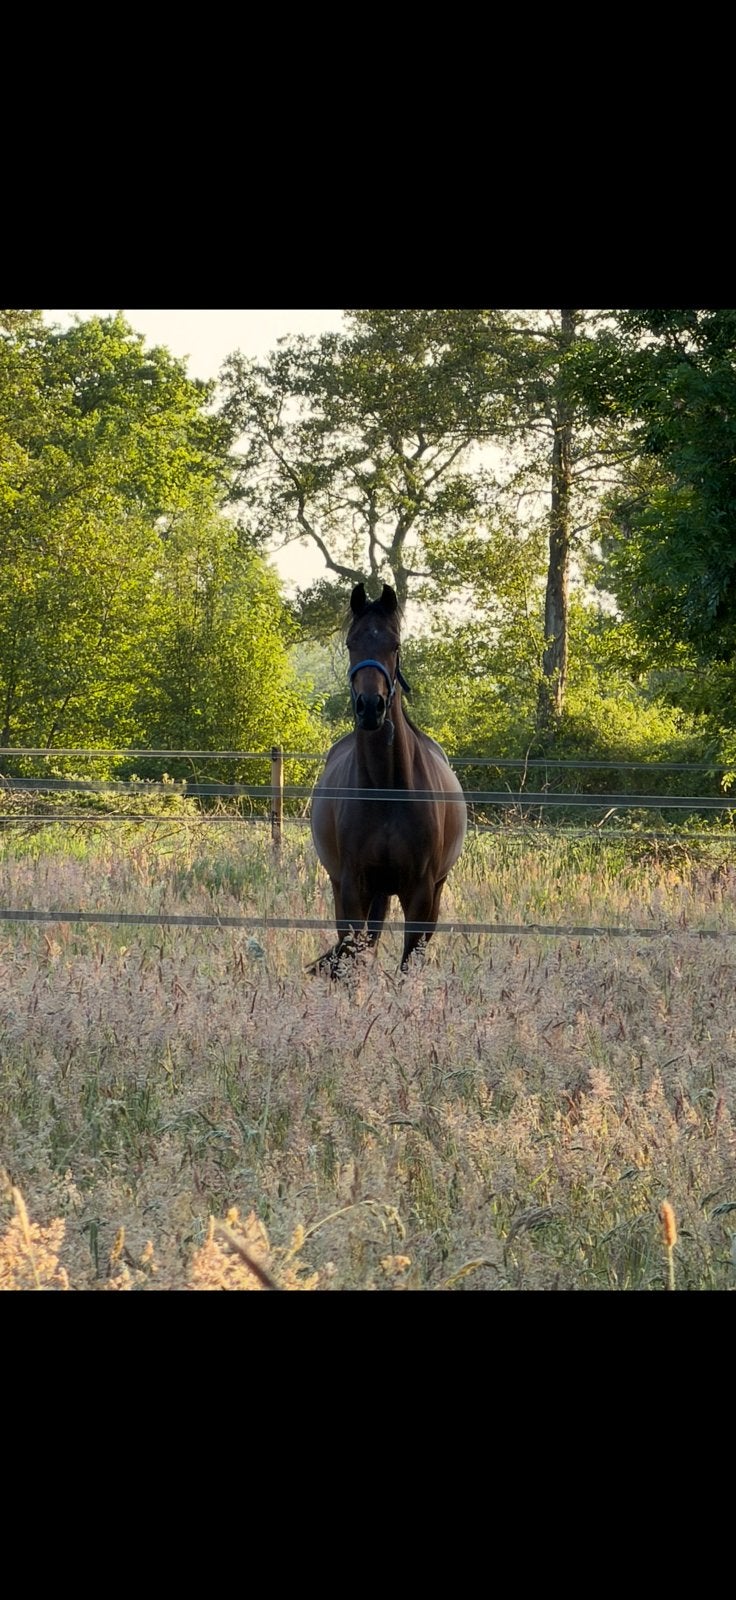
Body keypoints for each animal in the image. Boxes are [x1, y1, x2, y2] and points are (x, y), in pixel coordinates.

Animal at [309, 582, 467, 974]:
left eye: (394, 644)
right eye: (351, 643)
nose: (370, 707)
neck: (386, 789)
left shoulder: (421, 893)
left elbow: (409, 967)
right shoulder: (354, 888)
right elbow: (355, 963)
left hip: (428, 891)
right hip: (354, 889)